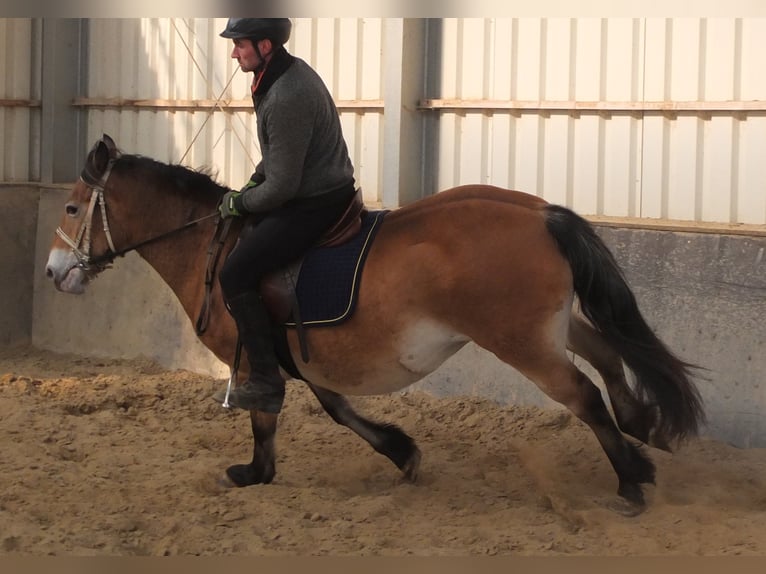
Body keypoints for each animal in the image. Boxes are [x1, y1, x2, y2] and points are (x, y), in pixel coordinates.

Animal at [45, 134, 704, 512]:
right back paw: (641, 429)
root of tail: (541, 213)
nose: (54, 272)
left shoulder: (256, 355)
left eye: (73, 207)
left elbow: (268, 417)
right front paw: (401, 452)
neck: (212, 245)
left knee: (585, 395)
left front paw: (254, 473)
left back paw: (630, 482)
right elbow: (338, 409)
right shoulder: (298, 358)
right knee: (610, 356)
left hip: (522, 342)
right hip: (553, 327)